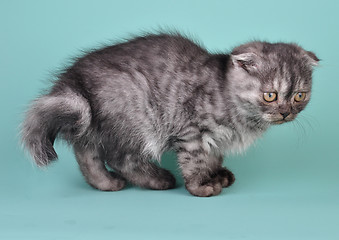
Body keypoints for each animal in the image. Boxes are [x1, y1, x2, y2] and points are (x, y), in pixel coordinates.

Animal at [20, 32, 318, 197]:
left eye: (299, 96)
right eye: (270, 95)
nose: (285, 112)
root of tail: (73, 78)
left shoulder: (215, 139)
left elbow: (214, 156)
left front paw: (216, 174)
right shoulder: (191, 131)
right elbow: (194, 161)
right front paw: (200, 186)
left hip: (95, 121)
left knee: (86, 151)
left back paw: (104, 183)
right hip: (134, 113)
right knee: (120, 158)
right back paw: (158, 179)